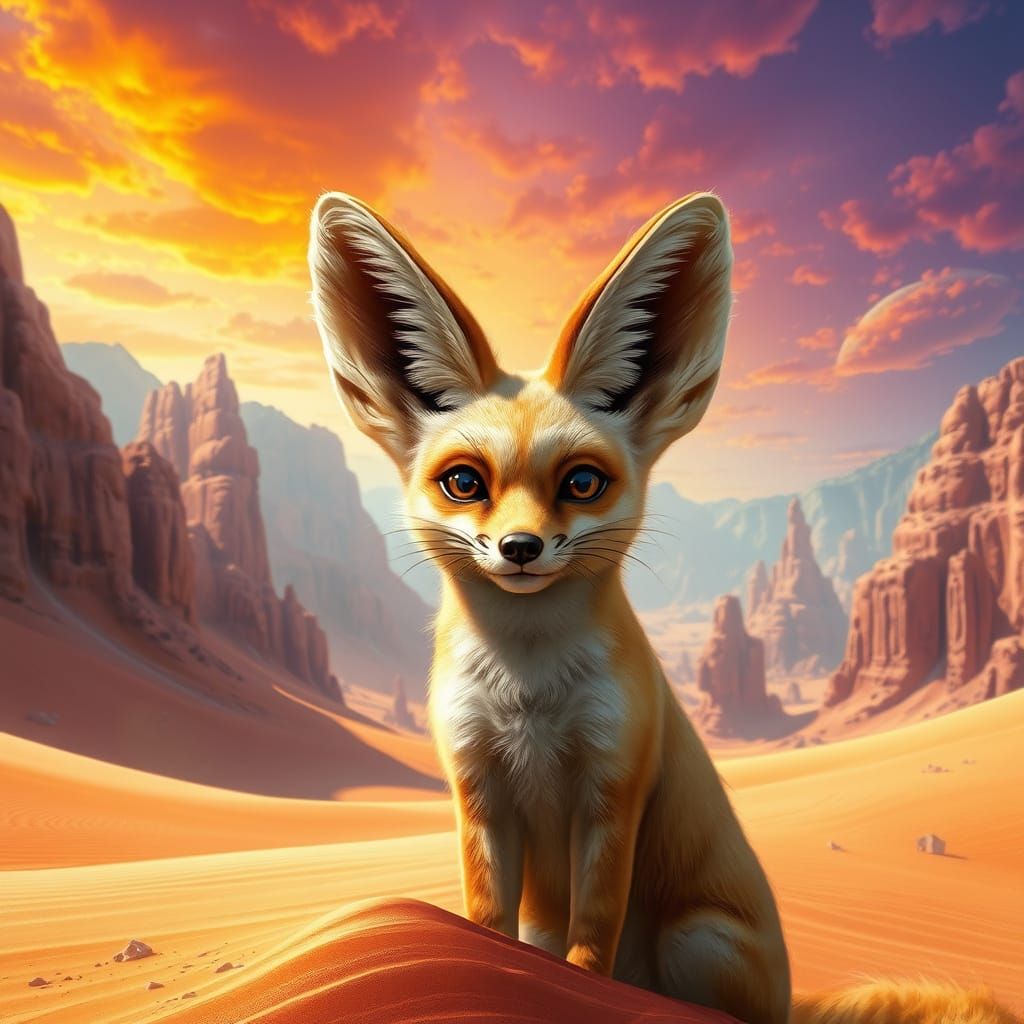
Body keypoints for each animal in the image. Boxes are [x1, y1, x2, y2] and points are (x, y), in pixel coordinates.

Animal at [308, 191, 1019, 1024]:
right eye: (464, 482)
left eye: (582, 483)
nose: (520, 547)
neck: (529, 693)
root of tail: (787, 994)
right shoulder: (478, 789)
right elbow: (485, 927)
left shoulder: (613, 791)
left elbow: (591, 939)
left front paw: (577, 993)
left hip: (696, 939)